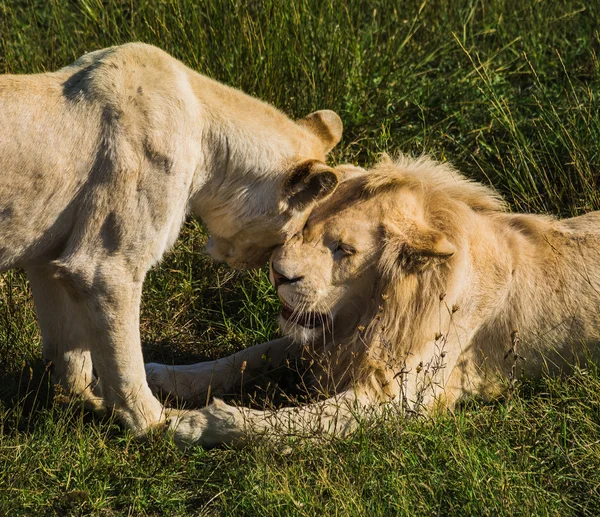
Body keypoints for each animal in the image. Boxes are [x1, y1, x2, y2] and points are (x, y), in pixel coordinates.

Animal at [0, 43, 344, 440]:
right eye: (292, 234)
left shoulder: (46, 252)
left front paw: (84, 401)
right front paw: (155, 423)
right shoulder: (105, 266)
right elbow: (125, 357)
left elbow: (67, 347)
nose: (270, 272)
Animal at [148, 153, 600, 444]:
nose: (278, 273)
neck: (377, 310)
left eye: (344, 250)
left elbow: (297, 420)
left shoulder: (404, 398)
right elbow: (244, 357)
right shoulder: (330, 342)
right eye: (304, 225)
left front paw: (195, 424)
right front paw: (164, 376)